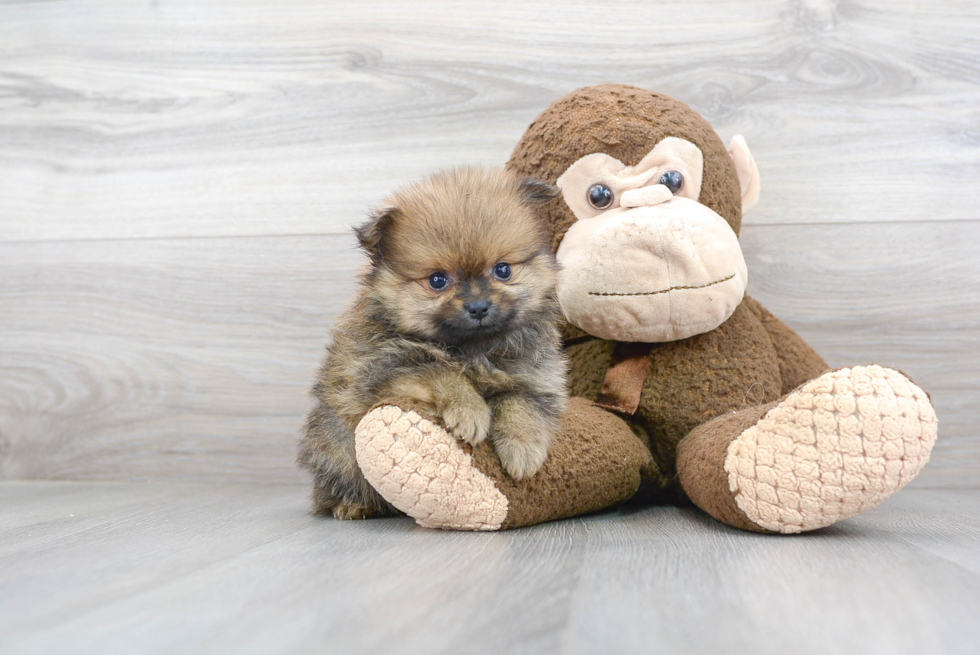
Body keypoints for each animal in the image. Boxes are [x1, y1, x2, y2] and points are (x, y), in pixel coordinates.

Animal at [298, 167, 576, 520]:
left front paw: (521, 448)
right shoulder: (381, 369)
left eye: (503, 270)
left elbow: (520, 403)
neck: (473, 350)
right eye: (437, 280)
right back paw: (353, 504)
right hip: (338, 448)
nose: (478, 307)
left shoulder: (535, 378)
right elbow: (439, 371)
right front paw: (470, 411)